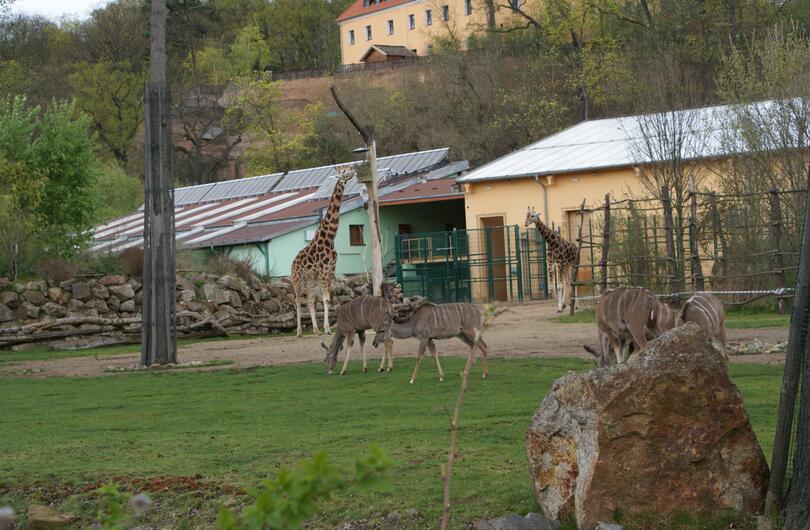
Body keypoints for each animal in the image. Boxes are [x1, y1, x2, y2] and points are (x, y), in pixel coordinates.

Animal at [290, 165, 354, 336]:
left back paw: (316, 330)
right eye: (343, 170)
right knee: (297, 299)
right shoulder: (325, 270)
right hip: (297, 278)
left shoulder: (331, 270)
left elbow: (328, 298)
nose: (353, 169)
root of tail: (293, 262)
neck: (330, 237)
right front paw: (328, 329)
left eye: (349, 167)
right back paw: (299, 331)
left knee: (310, 299)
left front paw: (326, 328)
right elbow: (325, 298)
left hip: (310, 278)